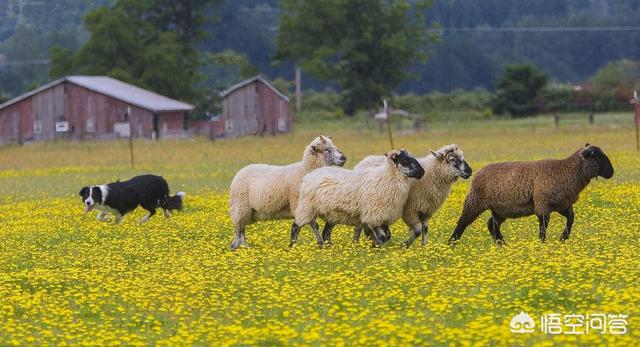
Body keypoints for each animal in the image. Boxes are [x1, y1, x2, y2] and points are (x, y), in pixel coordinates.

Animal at [292, 149, 424, 247]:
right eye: (405, 160)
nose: (422, 172)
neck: (386, 177)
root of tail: (310, 175)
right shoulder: (373, 214)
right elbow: (382, 236)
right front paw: (377, 247)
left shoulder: (382, 215)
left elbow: (387, 235)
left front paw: (374, 246)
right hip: (307, 207)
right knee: (296, 226)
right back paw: (291, 247)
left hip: (332, 214)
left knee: (325, 233)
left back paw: (330, 248)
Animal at [448, 143, 612, 245]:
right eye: (597, 156)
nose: (611, 172)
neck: (565, 171)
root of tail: (477, 172)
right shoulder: (542, 204)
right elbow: (543, 227)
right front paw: (542, 244)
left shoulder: (562, 205)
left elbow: (571, 220)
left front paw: (563, 239)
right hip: (475, 201)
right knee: (462, 222)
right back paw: (451, 244)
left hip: (501, 210)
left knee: (491, 225)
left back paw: (503, 244)